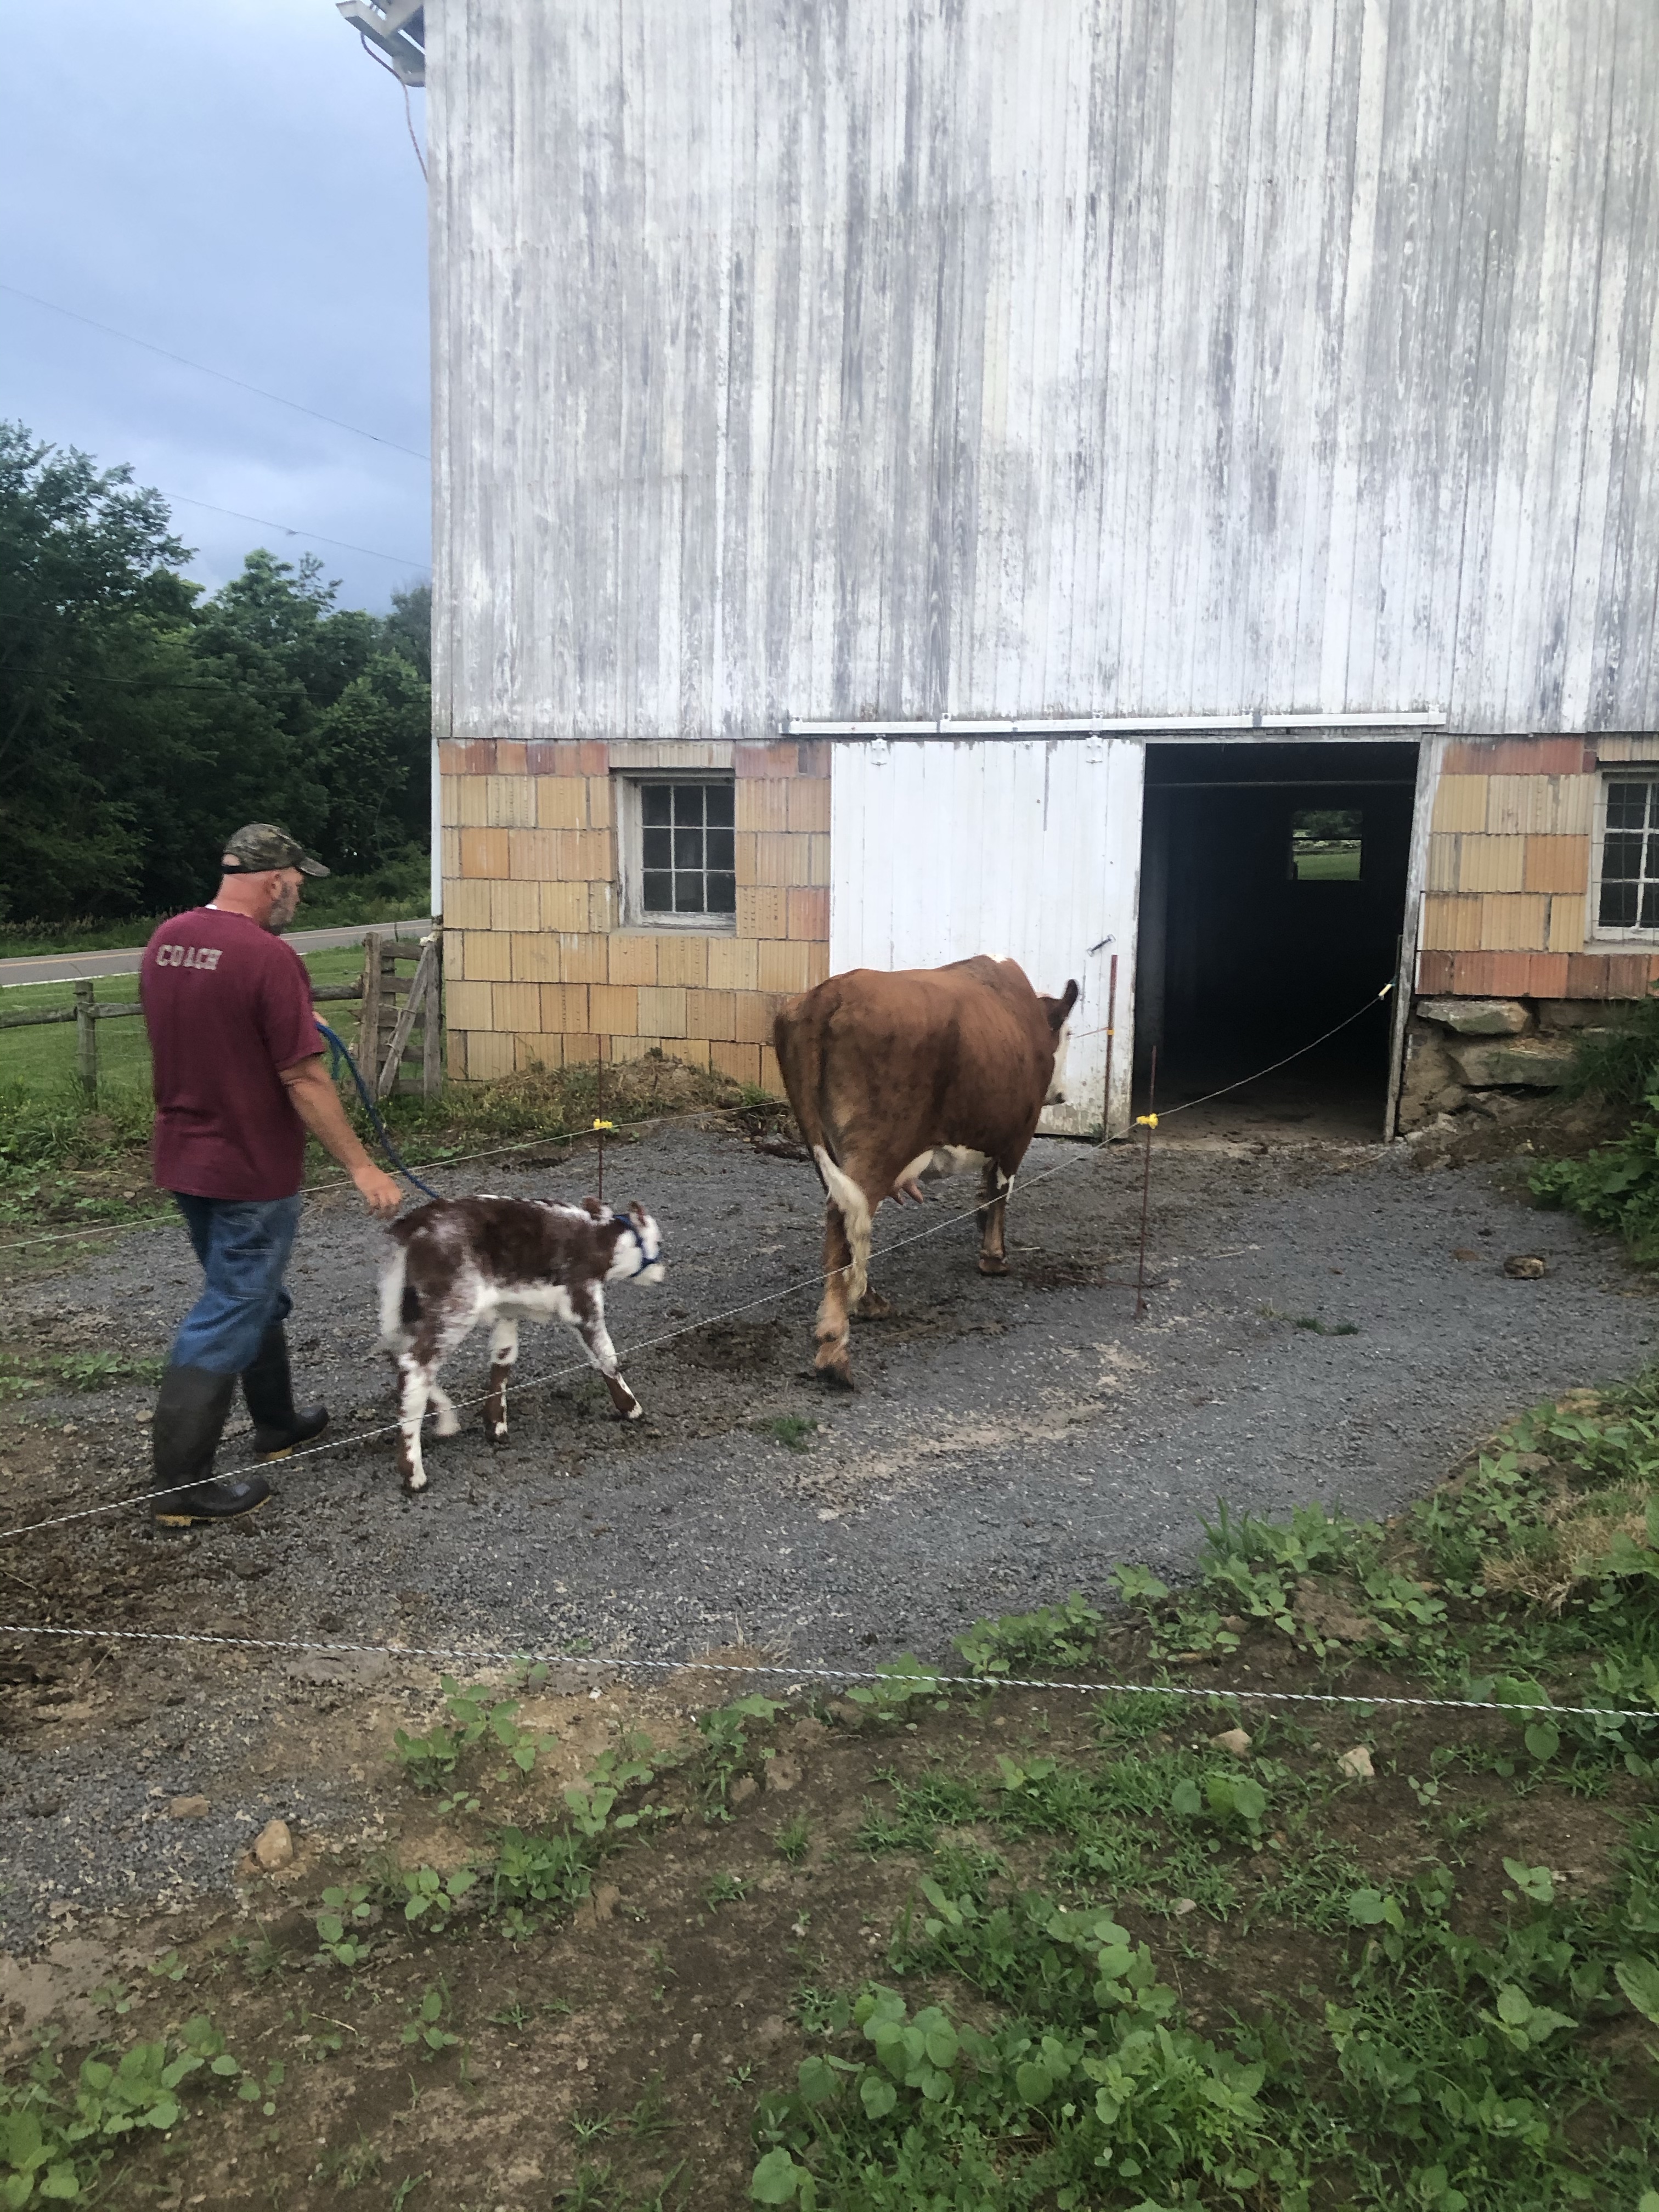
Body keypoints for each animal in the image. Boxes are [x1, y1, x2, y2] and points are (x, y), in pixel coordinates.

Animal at [378, 1195, 665, 1492]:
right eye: (659, 1241)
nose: (662, 1273)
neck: (598, 1241)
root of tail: (417, 1220)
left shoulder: (508, 1310)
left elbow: (504, 1358)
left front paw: (496, 1425)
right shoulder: (582, 1302)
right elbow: (606, 1356)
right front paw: (632, 1409)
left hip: (403, 1306)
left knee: (398, 1356)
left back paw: (446, 1420)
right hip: (453, 1308)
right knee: (416, 1368)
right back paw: (414, 1475)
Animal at [772, 956, 1078, 1388]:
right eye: (1067, 1034)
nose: (1062, 1095)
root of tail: (829, 993)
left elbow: (987, 1191)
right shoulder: (1017, 1135)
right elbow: (1001, 1190)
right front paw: (994, 1257)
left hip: (825, 1148)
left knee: (849, 1223)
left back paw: (868, 1301)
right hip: (877, 1146)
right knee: (844, 1223)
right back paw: (835, 1349)